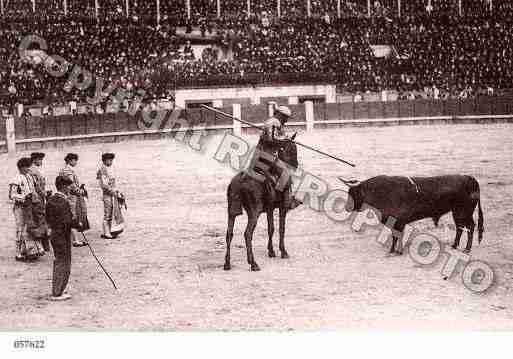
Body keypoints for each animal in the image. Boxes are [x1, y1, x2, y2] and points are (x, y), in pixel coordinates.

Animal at [224, 139, 300, 272]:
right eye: (293, 149)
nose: (296, 164)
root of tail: (240, 181)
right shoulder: (282, 209)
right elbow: (281, 229)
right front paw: (283, 252)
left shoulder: (270, 209)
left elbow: (271, 228)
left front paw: (271, 251)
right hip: (254, 213)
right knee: (247, 234)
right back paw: (253, 263)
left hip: (232, 211)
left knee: (229, 234)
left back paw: (227, 263)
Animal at [340, 176, 484, 255]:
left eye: (353, 193)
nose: (347, 207)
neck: (382, 192)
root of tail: (469, 178)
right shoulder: (396, 222)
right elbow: (396, 236)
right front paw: (395, 250)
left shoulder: (398, 222)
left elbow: (397, 236)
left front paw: (395, 251)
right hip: (457, 212)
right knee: (460, 227)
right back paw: (454, 246)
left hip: (464, 211)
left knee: (470, 227)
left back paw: (467, 249)